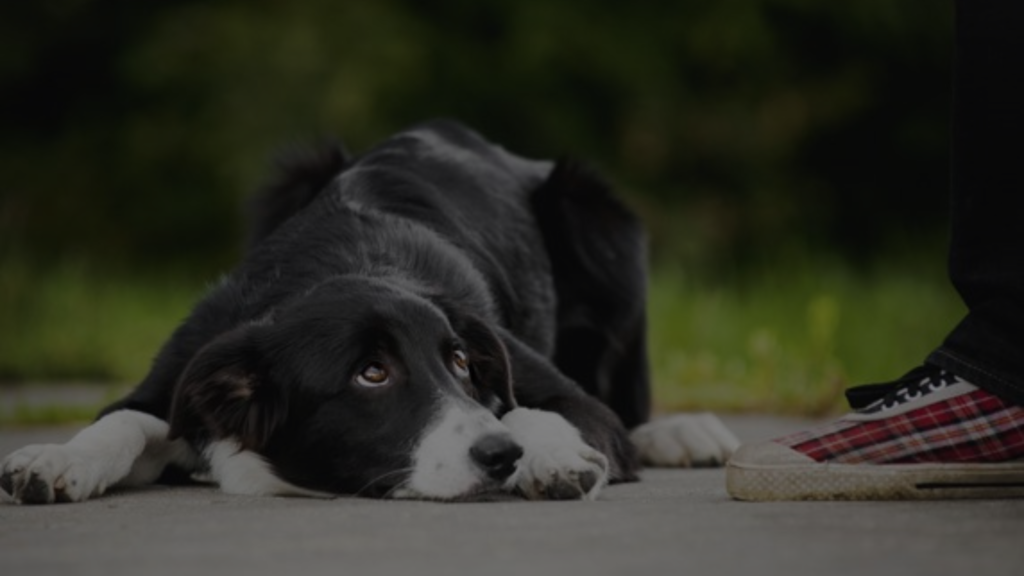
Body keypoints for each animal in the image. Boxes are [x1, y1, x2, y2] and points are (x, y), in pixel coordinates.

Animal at [0, 118, 737, 500]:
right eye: (371, 374)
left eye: (464, 363)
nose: (500, 457)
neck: (348, 267)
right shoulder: (181, 370)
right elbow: (123, 420)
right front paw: (54, 460)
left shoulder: (550, 386)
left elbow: (541, 407)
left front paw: (553, 455)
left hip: (602, 221)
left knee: (629, 402)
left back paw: (683, 432)